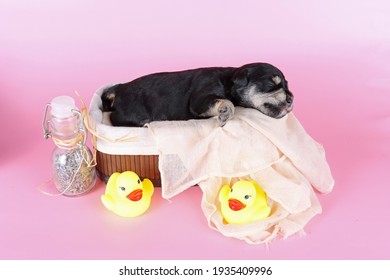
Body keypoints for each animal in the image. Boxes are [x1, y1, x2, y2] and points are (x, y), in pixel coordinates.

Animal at [102, 62, 294, 127]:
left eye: (287, 85)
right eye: (271, 84)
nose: (291, 99)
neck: (228, 81)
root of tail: (120, 88)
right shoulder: (199, 101)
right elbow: (227, 102)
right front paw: (225, 112)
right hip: (131, 114)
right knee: (112, 118)